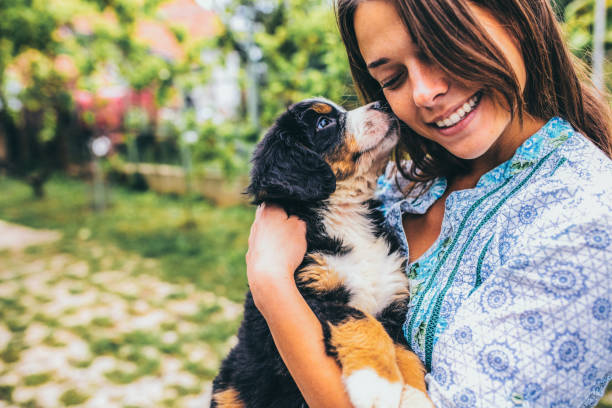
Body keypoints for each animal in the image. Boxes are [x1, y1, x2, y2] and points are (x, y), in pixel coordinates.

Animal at [210, 97, 430, 406]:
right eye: (324, 123)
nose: (383, 104)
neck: (349, 219)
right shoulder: (312, 296)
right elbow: (363, 323)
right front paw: (378, 385)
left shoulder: (391, 304)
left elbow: (407, 355)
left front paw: (415, 396)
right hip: (230, 388)